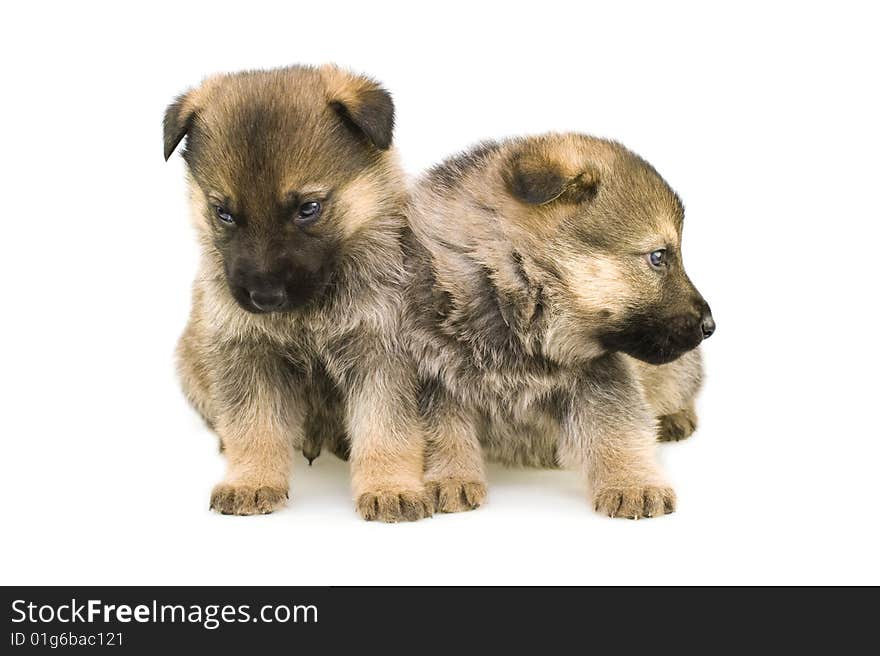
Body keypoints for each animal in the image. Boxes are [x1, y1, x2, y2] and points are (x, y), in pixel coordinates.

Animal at [163, 66, 432, 524]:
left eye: (308, 209)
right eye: (224, 213)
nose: (264, 296)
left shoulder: (383, 355)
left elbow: (386, 427)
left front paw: (390, 487)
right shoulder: (248, 354)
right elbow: (254, 425)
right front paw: (251, 481)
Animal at [406, 133, 716, 520]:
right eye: (658, 257)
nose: (711, 325)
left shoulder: (603, 374)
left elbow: (617, 429)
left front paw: (632, 484)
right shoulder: (436, 375)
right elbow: (445, 433)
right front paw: (451, 477)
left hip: (679, 371)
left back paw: (676, 417)